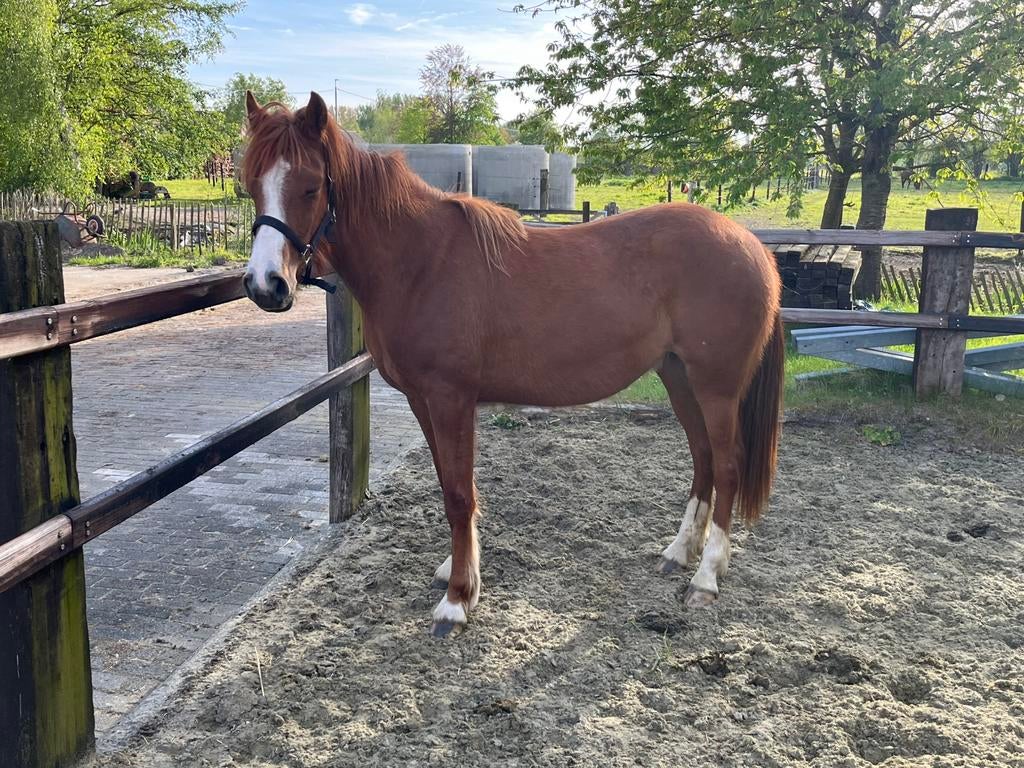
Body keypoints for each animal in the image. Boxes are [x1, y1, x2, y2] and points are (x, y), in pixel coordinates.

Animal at [241, 91, 785, 636]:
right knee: (703, 458)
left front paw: (458, 599)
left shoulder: (451, 399)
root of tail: (751, 246)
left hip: (716, 387)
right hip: (678, 376)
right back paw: (679, 552)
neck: (420, 263)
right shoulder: (422, 400)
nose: (266, 285)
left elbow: (459, 494)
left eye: (311, 186)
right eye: (250, 183)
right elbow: (448, 483)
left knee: (728, 465)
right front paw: (459, 572)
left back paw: (706, 577)